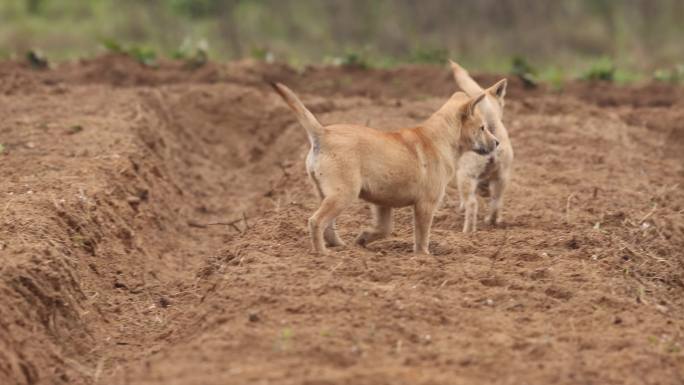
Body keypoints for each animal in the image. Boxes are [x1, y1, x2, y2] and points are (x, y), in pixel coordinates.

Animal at [272, 79, 502, 254]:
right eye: (482, 128)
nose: (498, 142)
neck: (440, 138)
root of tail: (322, 133)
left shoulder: (382, 202)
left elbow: (384, 229)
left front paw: (363, 238)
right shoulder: (425, 204)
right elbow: (422, 235)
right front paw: (423, 256)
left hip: (327, 193)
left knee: (329, 225)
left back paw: (340, 246)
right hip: (343, 194)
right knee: (316, 221)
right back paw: (321, 253)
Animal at [448, 60, 512, 231]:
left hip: (465, 176)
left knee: (472, 204)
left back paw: (468, 231)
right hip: (502, 178)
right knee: (496, 202)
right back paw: (491, 220)